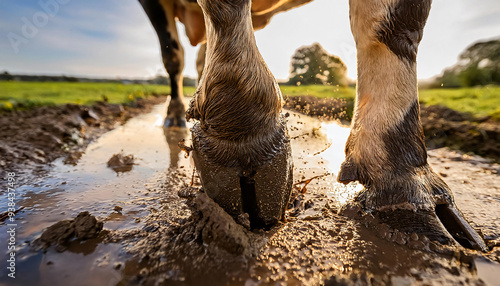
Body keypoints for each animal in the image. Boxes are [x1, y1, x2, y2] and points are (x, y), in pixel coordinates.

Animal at [141, 0, 488, 250]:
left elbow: (398, 24)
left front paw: (403, 181)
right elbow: (187, 42)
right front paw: (243, 124)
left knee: (197, 55)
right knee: (175, 56)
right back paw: (175, 114)